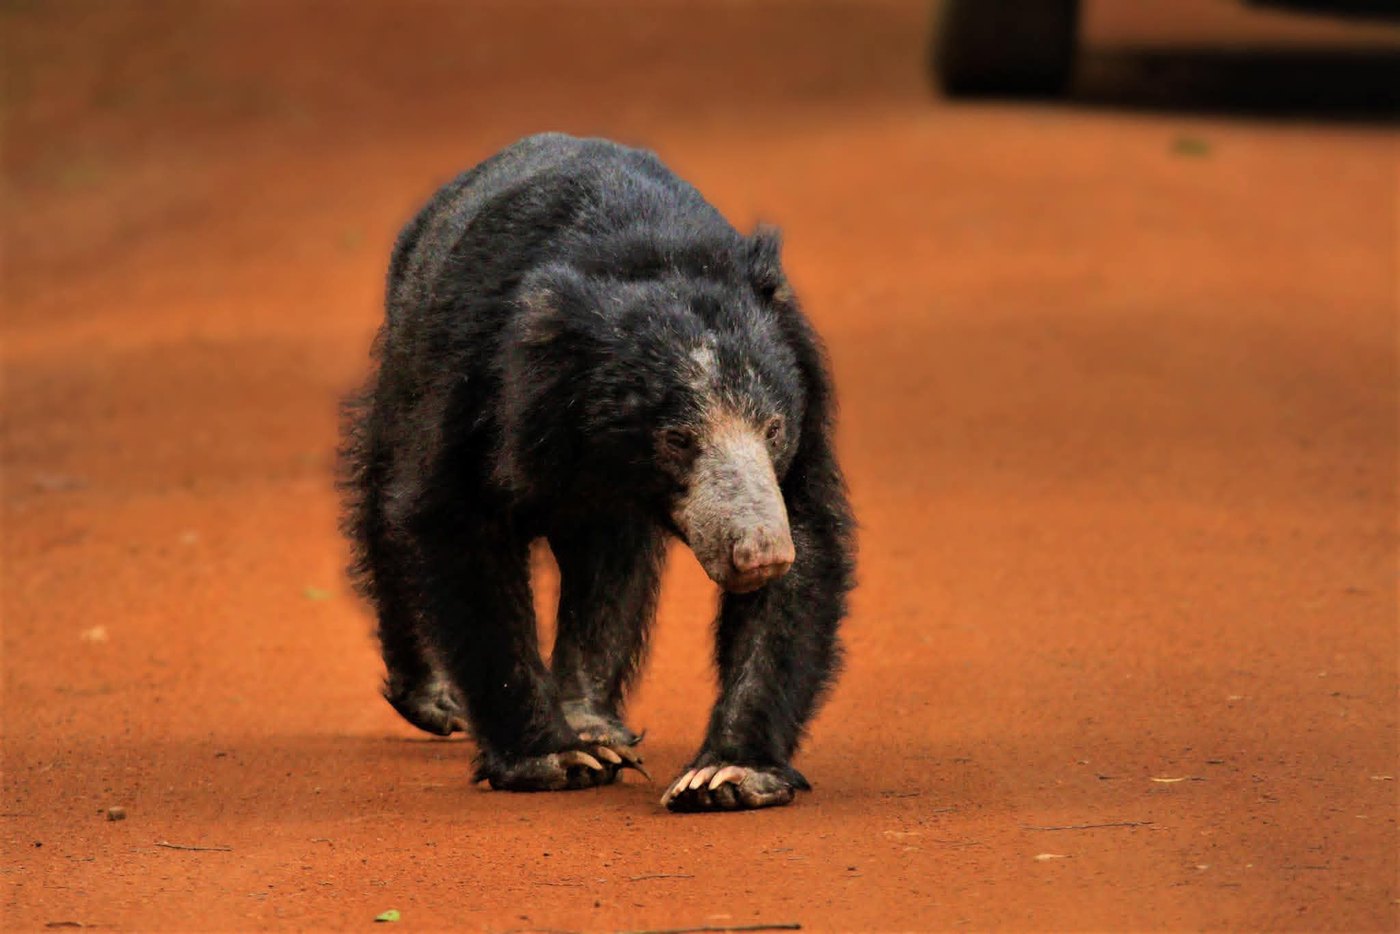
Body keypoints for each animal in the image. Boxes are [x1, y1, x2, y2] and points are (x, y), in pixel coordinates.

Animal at [339, 132, 855, 811]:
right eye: (678, 440)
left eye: (773, 428)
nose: (760, 554)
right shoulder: (473, 381)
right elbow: (454, 524)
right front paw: (552, 758)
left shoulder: (799, 415)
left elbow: (806, 542)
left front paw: (725, 774)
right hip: (404, 368)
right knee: (383, 504)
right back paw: (438, 699)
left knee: (611, 566)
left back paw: (593, 721)